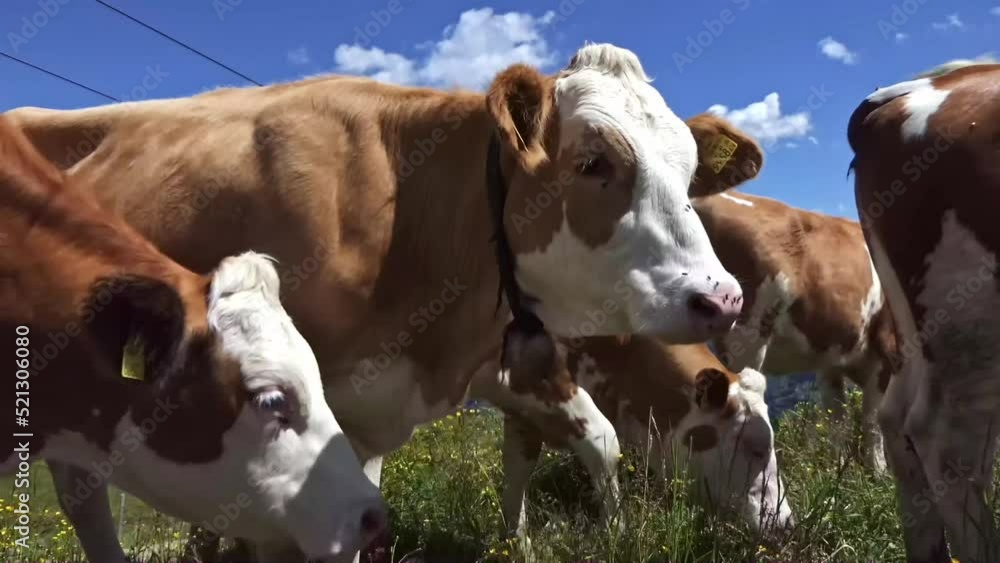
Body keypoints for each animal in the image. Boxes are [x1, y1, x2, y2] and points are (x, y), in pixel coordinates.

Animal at [474, 330, 788, 548]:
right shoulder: (539, 377)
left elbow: (516, 474)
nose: (785, 523)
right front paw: (614, 534)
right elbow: (603, 441)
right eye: (756, 447)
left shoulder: (522, 414)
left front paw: (519, 545)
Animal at [692, 191, 896, 472]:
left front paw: (837, 469)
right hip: (744, 334)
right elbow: (873, 421)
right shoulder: (884, 350)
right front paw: (878, 472)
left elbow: (838, 420)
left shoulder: (831, 360)